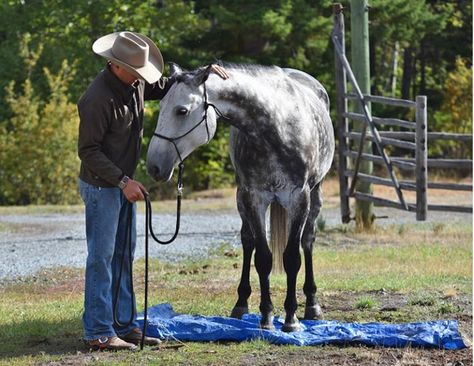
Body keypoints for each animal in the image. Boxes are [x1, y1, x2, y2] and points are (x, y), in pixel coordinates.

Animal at [146, 63, 336, 332]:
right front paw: (266, 317)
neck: (277, 127)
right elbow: (263, 258)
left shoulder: (299, 198)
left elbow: (291, 258)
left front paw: (291, 318)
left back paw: (312, 304)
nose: (153, 167)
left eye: (181, 111)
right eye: (161, 105)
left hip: (314, 195)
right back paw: (241, 303)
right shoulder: (254, 197)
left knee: (307, 241)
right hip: (241, 198)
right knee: (248, 241)